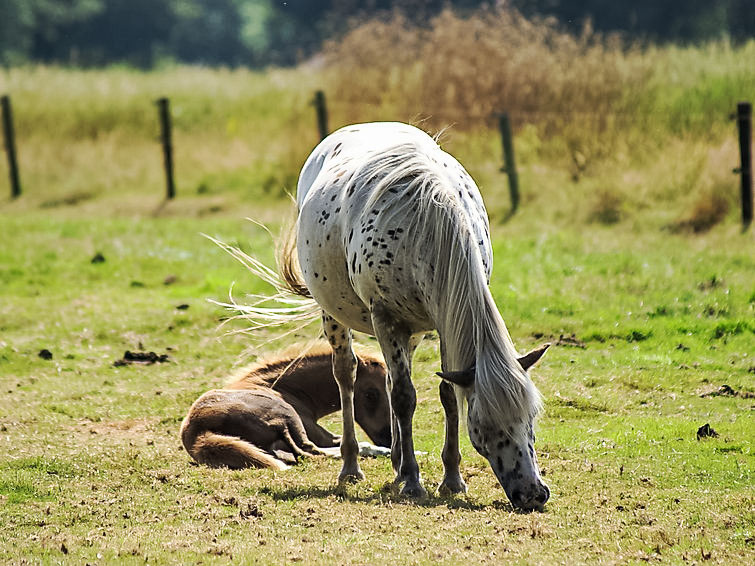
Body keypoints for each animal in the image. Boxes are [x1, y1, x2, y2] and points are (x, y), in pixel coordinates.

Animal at [182, 344, 390, 472]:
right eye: (371, 394)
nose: (387, 438)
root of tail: (197, 432)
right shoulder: (318, 433)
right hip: (288, 415)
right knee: (310, 451)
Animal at [274, 122, 548, 512]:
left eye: (532, 418)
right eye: (484, 427)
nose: (533, 494)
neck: (426, 226)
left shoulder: (445, 323)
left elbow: (447, 393)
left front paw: (451, 478)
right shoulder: (385, 317)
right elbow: (405, 397)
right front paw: (414, 482)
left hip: (411, 331)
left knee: (390, 380)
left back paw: (396, 464)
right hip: (337, 316)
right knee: (347, 375)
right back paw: (352, 466)